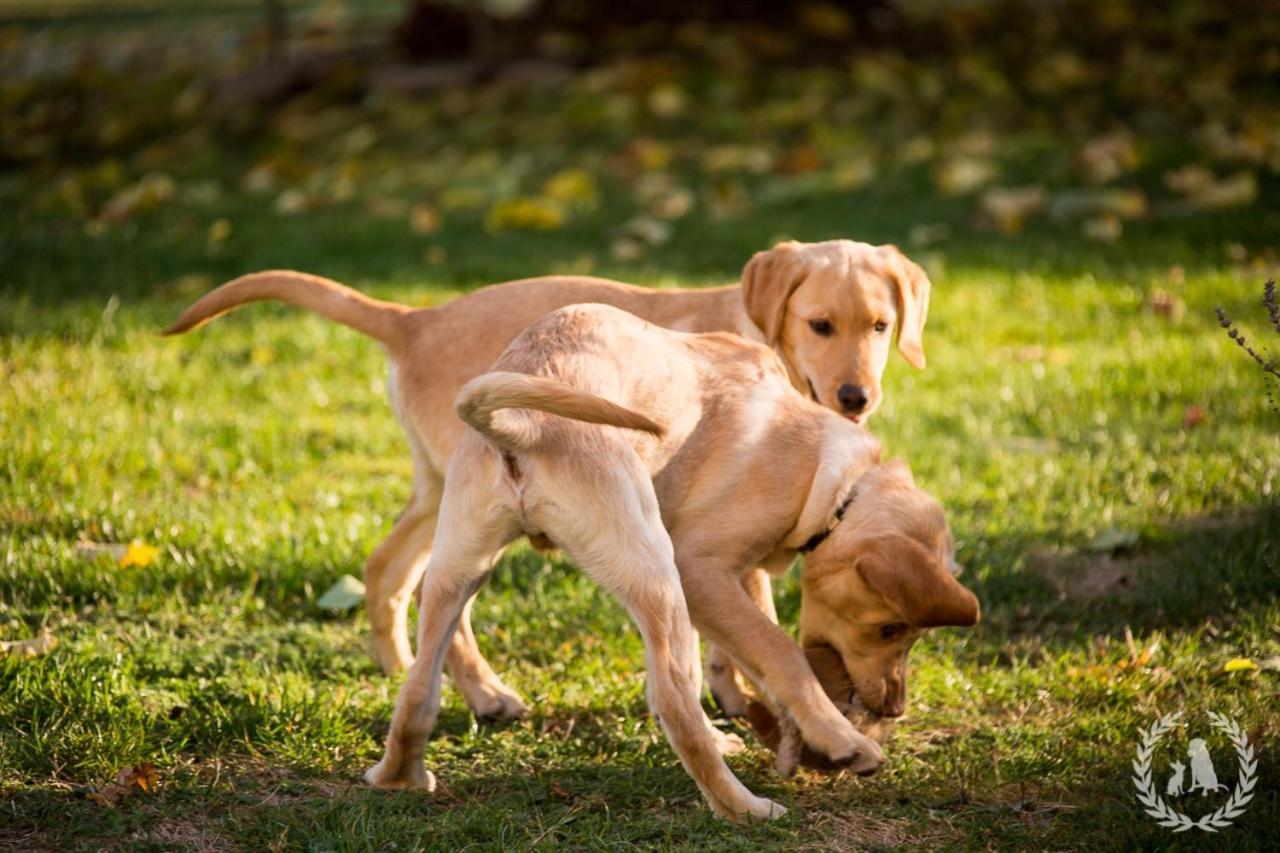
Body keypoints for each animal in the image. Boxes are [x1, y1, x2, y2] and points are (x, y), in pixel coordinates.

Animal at [366, 300, 972, 819]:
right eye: (891, 628)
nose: (893, 709)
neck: (834, 480)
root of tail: (523, 425)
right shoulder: (700, 572)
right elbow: (779, 651)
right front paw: (839, 740)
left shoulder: (734, 579)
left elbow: (751, 653)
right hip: (656, 574)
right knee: (674, 704)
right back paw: (747, 809)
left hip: (455, 571)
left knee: (419, 688)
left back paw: (398, 778)